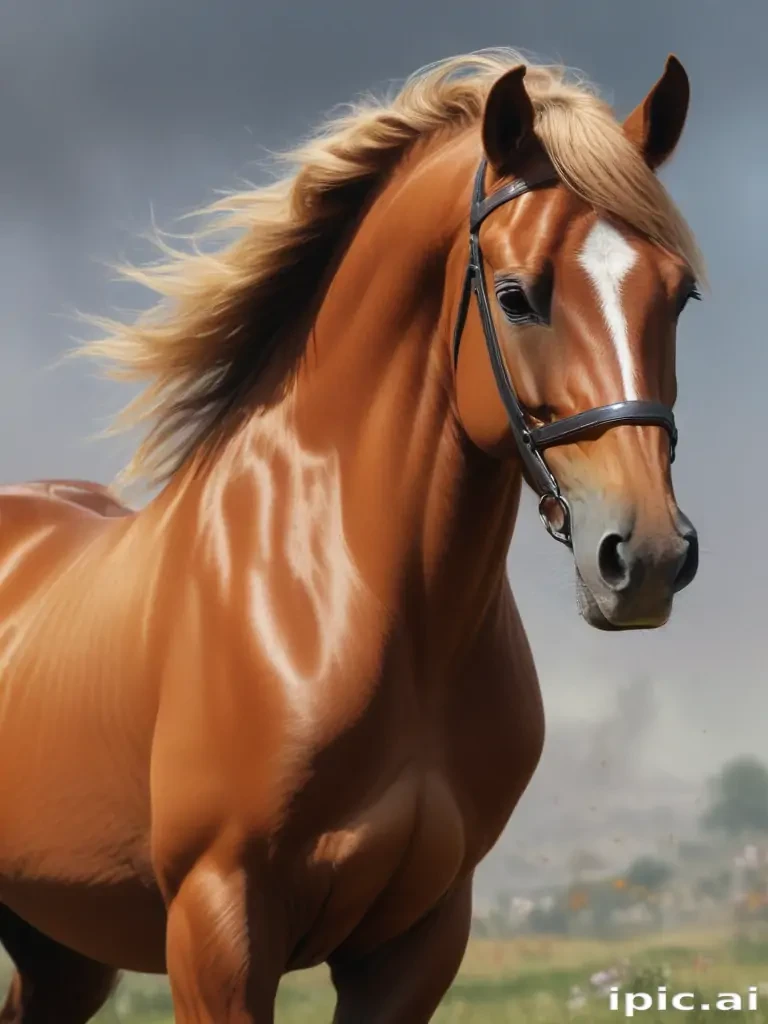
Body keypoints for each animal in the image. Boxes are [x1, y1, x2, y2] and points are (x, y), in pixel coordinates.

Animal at [0, 49, 704, 1022]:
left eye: (679, 295)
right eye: (517, 296)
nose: (647, 559)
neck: (345, 593)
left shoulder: (419, 937)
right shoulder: (217, 926)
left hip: (61, 950)